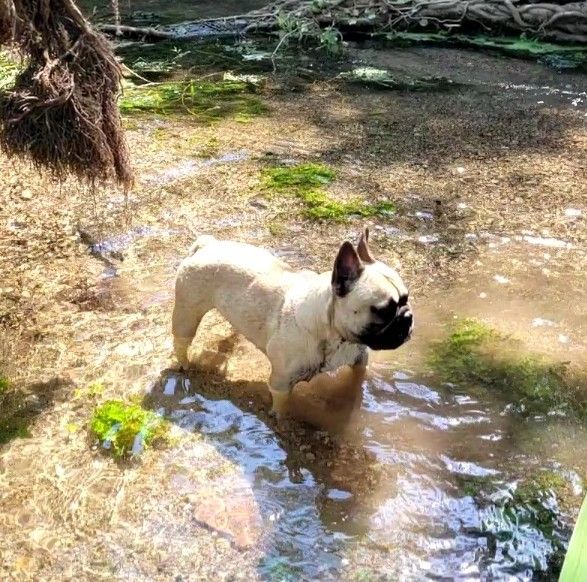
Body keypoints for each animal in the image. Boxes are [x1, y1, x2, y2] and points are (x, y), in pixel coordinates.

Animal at [173, 229, 414, 420]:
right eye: (382, 311)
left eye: (406, 298)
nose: (408, 317)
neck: (335, 335)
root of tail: (207, 246)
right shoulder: (280, 384)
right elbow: (281, 408)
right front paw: (281, 421)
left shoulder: (359, 360)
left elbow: (355, 381)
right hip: (187, 313)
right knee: (182, 341)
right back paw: (184, 364)